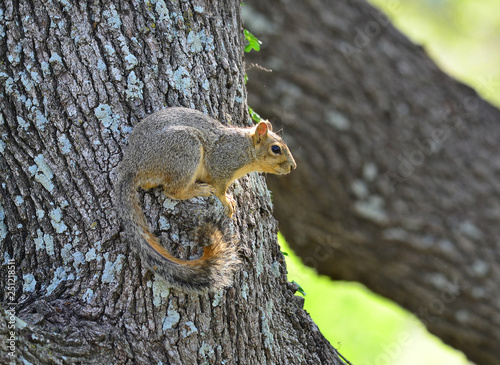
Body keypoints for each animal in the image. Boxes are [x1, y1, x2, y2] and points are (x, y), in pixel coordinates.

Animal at [116, 106, 296, 292]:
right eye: (276, 149)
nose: (293, 166)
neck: (246, 148)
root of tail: (131, 165)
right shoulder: (221, 164)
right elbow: (220, 189)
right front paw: (227, 202)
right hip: (186, 151)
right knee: (173, 191)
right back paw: (200, 189)